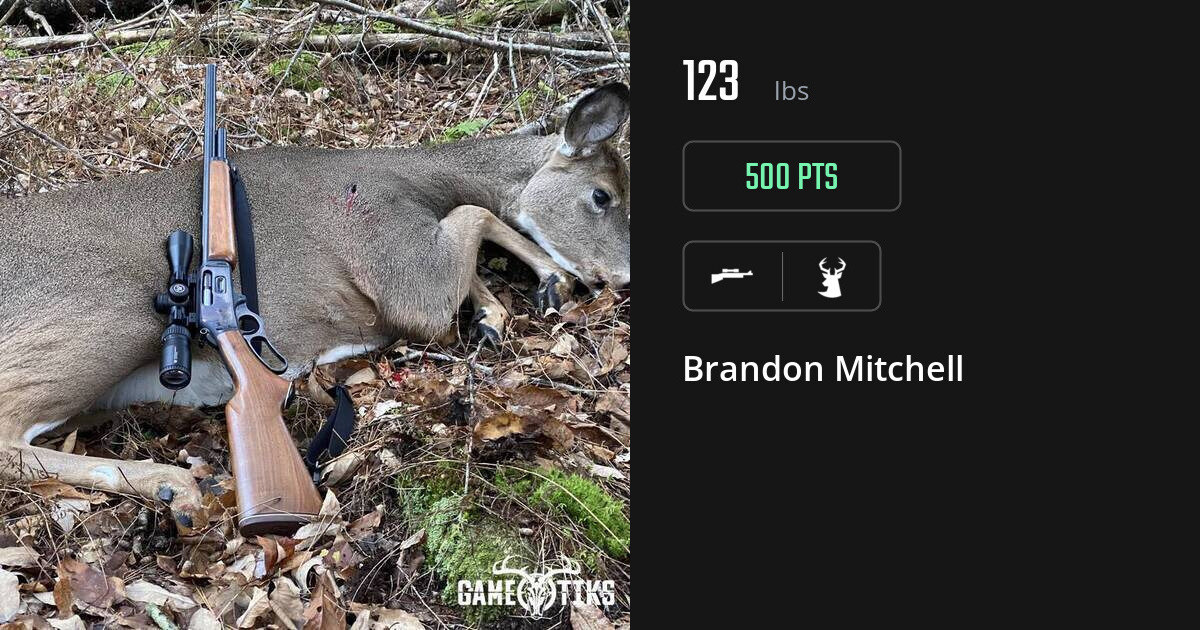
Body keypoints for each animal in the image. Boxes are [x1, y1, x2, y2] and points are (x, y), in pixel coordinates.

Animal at [0, 83, 630, 528]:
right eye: (602, 195)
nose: (622, 278)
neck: (420, 178)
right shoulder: (393, 253)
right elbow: (476, 216)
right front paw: (541, 285)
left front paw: (501, 310)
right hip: (99, 323)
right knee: (9, 438)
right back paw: (171, 482)